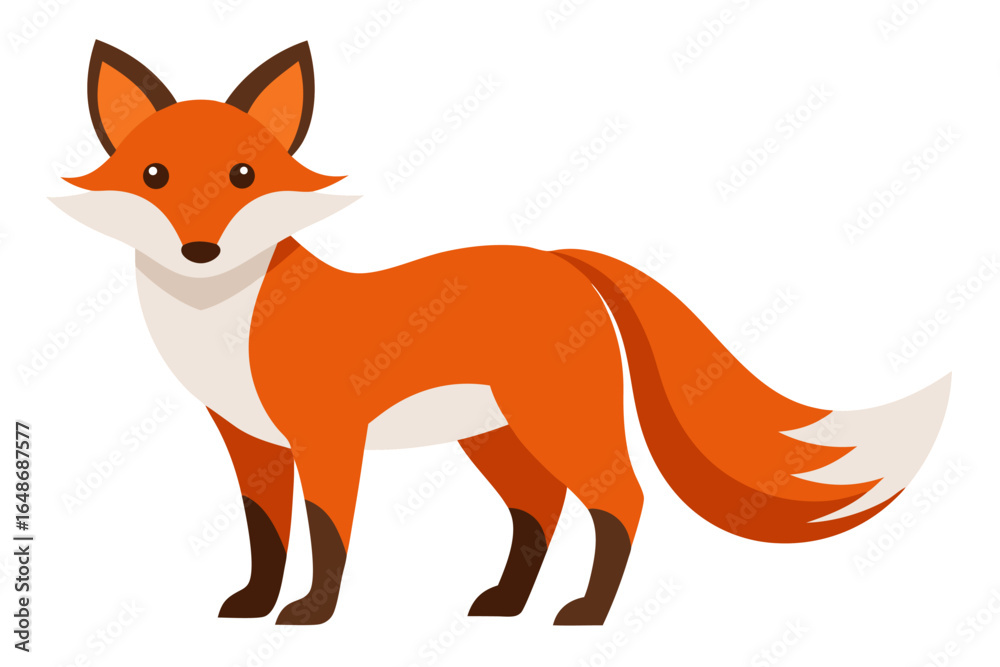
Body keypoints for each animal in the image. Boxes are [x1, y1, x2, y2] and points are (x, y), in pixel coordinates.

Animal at [52, 40, 951, 626]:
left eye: (244, 176)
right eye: (155, 176)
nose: (199, 249)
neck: (226, 323)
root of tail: (561, 259)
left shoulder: (328, 436)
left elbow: (327, 532)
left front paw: (310, 613)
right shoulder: (249, 440)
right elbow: (263, 533)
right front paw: (250, 605)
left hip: (556, 420)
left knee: (620, 499)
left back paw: (587, 613)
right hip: (497, 435)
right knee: (539, 511)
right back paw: (508, 605)